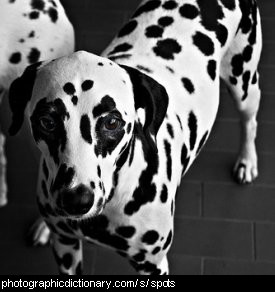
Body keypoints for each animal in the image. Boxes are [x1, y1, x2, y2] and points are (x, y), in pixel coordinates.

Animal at [8, 0, 264, 274]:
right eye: (47, 122)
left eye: (111, 122)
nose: (77, 200)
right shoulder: (66, 247)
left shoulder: (153, 265)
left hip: (244, 85)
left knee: (250, 122)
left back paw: (247, 161)